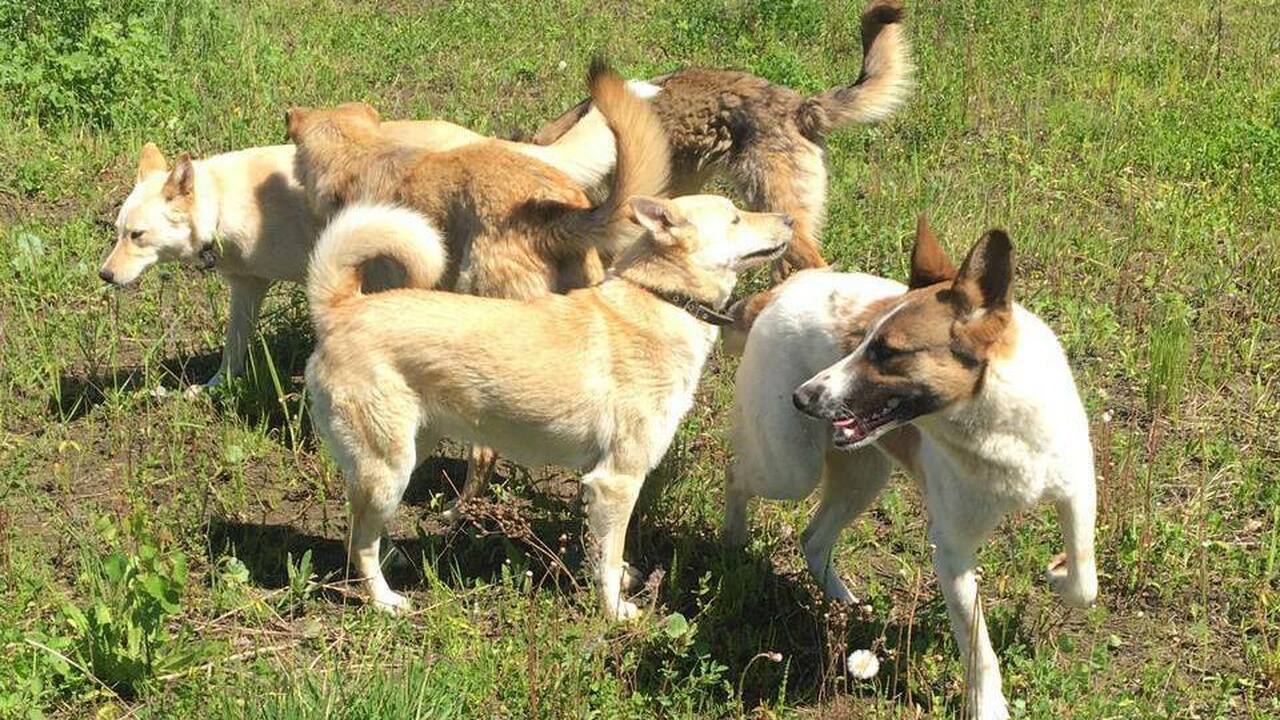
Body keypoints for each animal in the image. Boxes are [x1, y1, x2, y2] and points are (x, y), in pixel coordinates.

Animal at [307, 196, 788, 617]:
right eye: (735, 218)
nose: (786, 217)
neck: (662, 297)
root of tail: (341, 308)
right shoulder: (618, 479)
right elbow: (609, 557)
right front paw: (614, 611)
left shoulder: (595, 478)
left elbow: (600, 549)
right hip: (388, 464)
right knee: (359, 540)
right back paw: (384, 600)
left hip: (408, 451)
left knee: (365, 522)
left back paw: (394, 559)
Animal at [727, 219, 1095, 717]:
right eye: (861, 340)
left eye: (886, 352)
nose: (802, 397)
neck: (995, 421)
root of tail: (781, 290)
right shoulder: (952, 550)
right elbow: (978, 646)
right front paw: (988, 706)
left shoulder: (1077, 489)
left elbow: (1085, 577)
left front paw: (1059, 574)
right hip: (791, 470)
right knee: (737, 476)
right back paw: (733, 541)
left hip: (862, 477)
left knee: (813, 539)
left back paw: (844, 602)